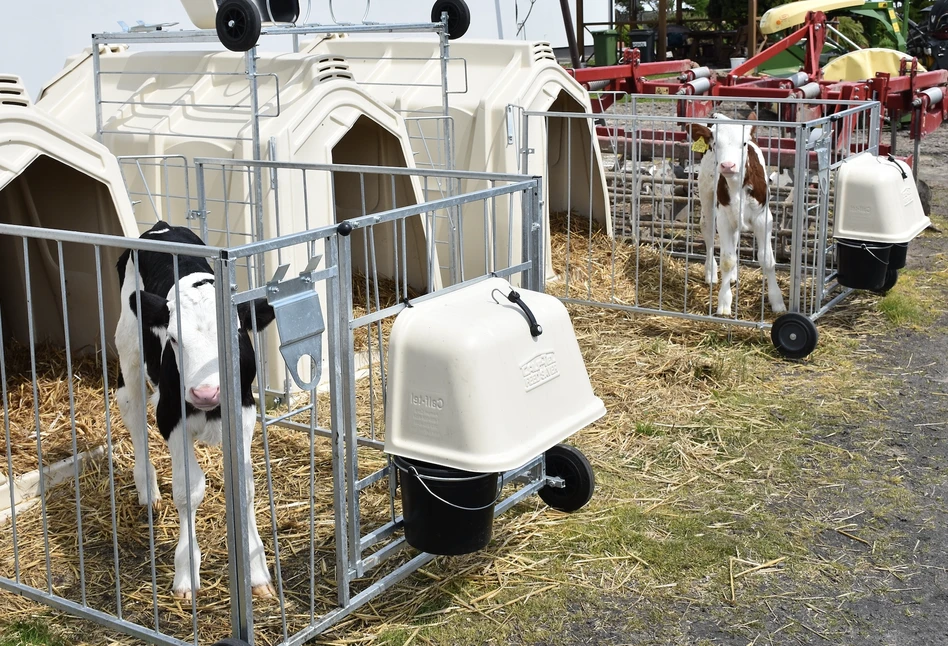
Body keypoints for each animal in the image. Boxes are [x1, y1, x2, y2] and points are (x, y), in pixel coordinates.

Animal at [115, 223, 276, 604]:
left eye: (235, 333)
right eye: (173, 338)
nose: (205, 393)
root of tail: (161, 227)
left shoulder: (244, 410)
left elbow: (246, 487)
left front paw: (256, 572)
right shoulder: (170, 416)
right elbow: (188, 490)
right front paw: (186, 574)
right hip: (128, 348)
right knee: (131, 408)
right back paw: (148, 490)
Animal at [688, 116, 784, 318]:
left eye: (744, 143)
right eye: (715, 144)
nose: (727, 165)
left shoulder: (764, 219)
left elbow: (767, 259)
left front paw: (777, 301)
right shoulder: (723, 218)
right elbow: (727, 259)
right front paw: (724, 303)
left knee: (735, 237)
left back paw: (732, 276)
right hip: (706, 193)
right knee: (707, 230)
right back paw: (711, 273)